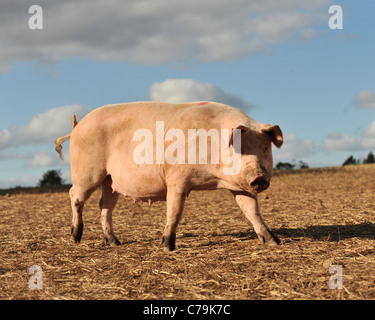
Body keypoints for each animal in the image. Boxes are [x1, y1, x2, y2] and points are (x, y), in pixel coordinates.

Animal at [55, 101, 284, 251]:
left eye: (265, 148)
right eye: (240, 148)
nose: (259, 177)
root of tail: (77, 126)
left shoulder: (239, 186)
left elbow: (252, 211)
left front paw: (273, 242)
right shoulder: (176, 178)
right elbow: (174, 212)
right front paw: (167, 247)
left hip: (110, 180)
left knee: (104, 206)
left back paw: (114, 242)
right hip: (87, 172)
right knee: (74, 195)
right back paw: (75, 237)